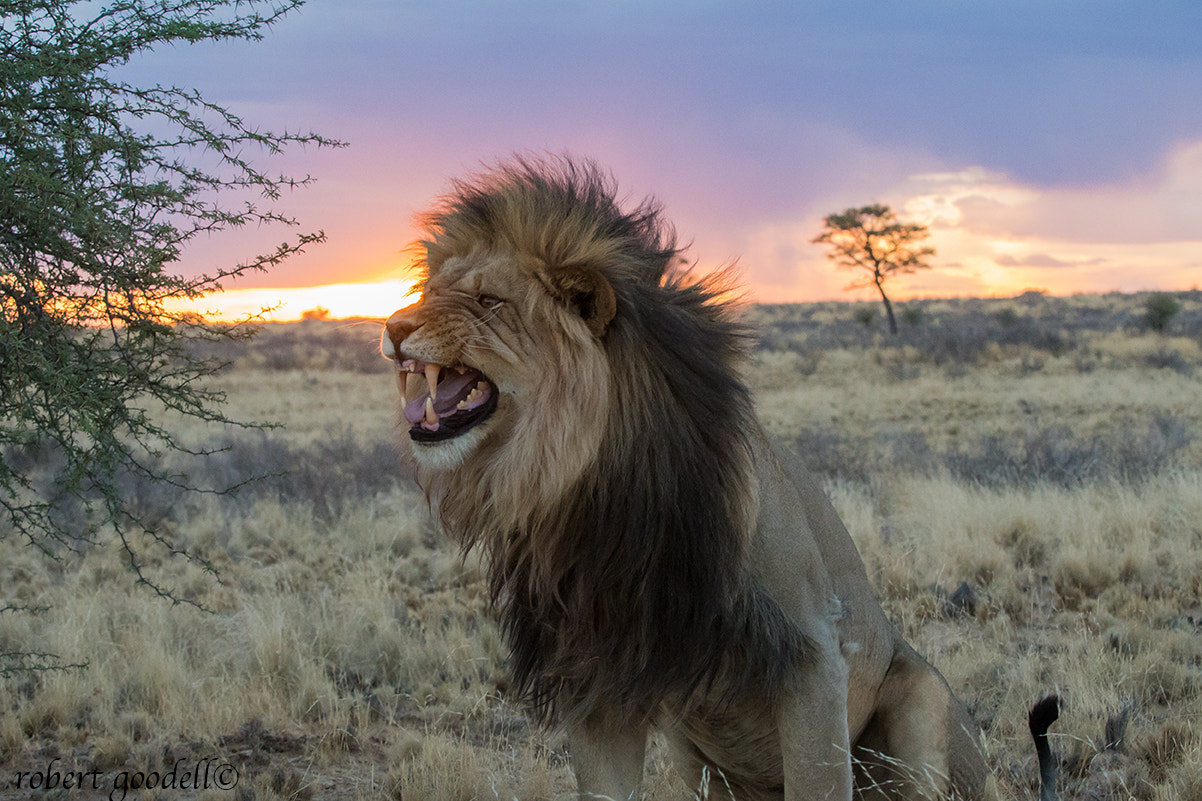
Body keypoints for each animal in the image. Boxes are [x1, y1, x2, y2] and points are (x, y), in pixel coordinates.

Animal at [381, 156, 998, 801]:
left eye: (489, 301)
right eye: (430, 293)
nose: (393, 327)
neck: (594, 490)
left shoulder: (811, 653)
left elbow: (819, 780)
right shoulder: (596, 674)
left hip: (921, 697)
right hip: (690, 750)